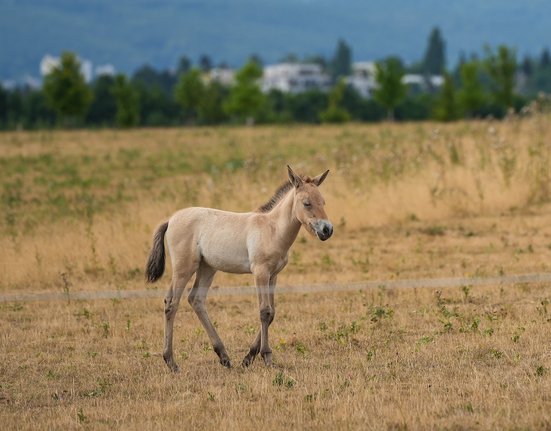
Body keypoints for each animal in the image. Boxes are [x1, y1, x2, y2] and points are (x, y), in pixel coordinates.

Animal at [146, 165, 332, 372]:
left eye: (323, 202)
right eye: (307, 203)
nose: (327, 230)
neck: (272, 229)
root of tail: (170, 220)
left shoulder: (273, 276)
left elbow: (272, 313)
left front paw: (248, 358)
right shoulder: (260, 273)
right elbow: (264, 311)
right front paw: (266, 357)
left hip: (207, 268)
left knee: (196, 300)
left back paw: (224, 357)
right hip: (183, 268)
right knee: (171, 304)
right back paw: (171, 362)